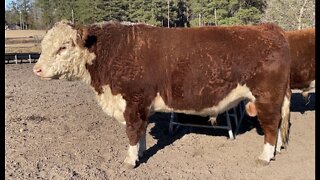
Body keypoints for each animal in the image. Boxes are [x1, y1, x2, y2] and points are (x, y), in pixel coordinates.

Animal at [33, 20, 292, 168]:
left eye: (63, 47)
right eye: (44, 45)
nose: (37, 69)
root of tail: (270, 29)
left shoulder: (133, 101)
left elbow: (132, 131)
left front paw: (130, 160)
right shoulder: (142, 105)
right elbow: (141, 132)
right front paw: (141, 152)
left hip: (266, 96)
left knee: (271, 125)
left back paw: (265, 156)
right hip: (275, 98)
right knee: (280, 123)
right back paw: (277, 150)